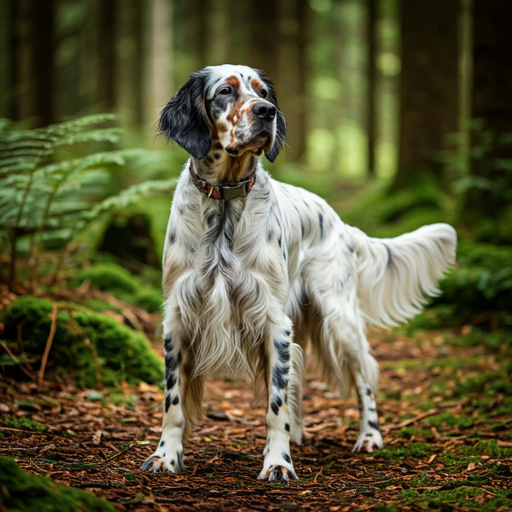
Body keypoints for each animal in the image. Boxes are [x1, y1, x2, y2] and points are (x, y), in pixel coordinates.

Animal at [139, 64, 456, 480]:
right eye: (226, 91)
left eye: (263, 93)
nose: (267, 112)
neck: (226, 202)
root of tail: (339, 221)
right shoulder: (178, 315)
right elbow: (173, 402)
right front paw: (166, 455)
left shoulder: (273, 319)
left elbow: (276, 404)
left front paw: (278, 462)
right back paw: (300, 433)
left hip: (339, 319)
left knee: (364, 379)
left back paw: (369, 436)